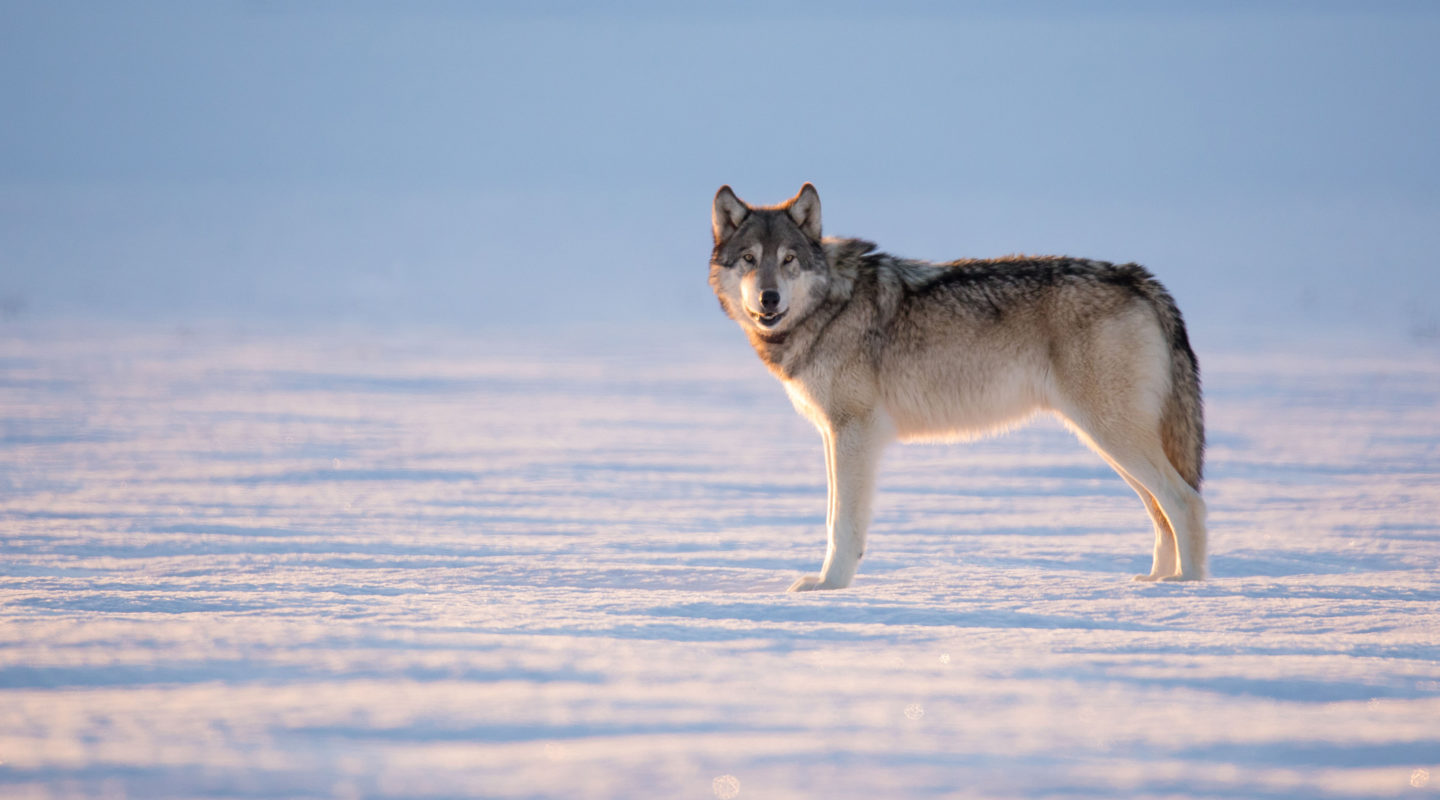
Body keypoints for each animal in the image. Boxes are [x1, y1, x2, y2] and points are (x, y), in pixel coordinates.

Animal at [708, 184, 1203, 589]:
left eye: (788, 260)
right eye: (749, 259)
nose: (768, 298)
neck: (831, 305)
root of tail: (1135, 276)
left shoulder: (854, 433)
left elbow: (842, 522)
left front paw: (831, 587)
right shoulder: (834, 434)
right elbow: (833, 516)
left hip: (1112, 436)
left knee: (1186, 502)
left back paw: (1188, 588)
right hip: (1109, 443)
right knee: (1161, 512)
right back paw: (1155, 583)